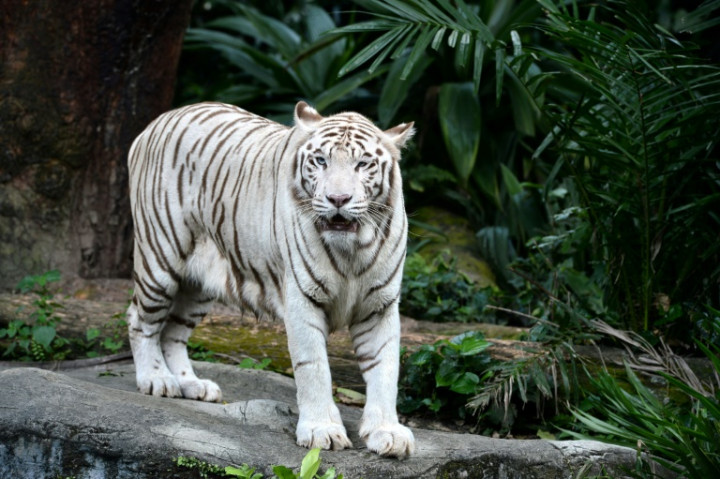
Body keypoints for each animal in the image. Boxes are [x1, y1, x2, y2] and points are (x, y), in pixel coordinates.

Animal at [126, 101, 415, 458]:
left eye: (363, 164)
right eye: (321, 161)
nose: (338, 199)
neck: (353, 250)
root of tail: (160, 119)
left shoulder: (380, 304)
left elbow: (385, 369)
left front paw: (387, 432)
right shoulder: (302, 299)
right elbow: (314, 367)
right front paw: (322, 429)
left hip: (199, 284)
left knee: (173, 333)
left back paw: (191, 384)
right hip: (159, 259)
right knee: (140, 320)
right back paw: (156, 380)